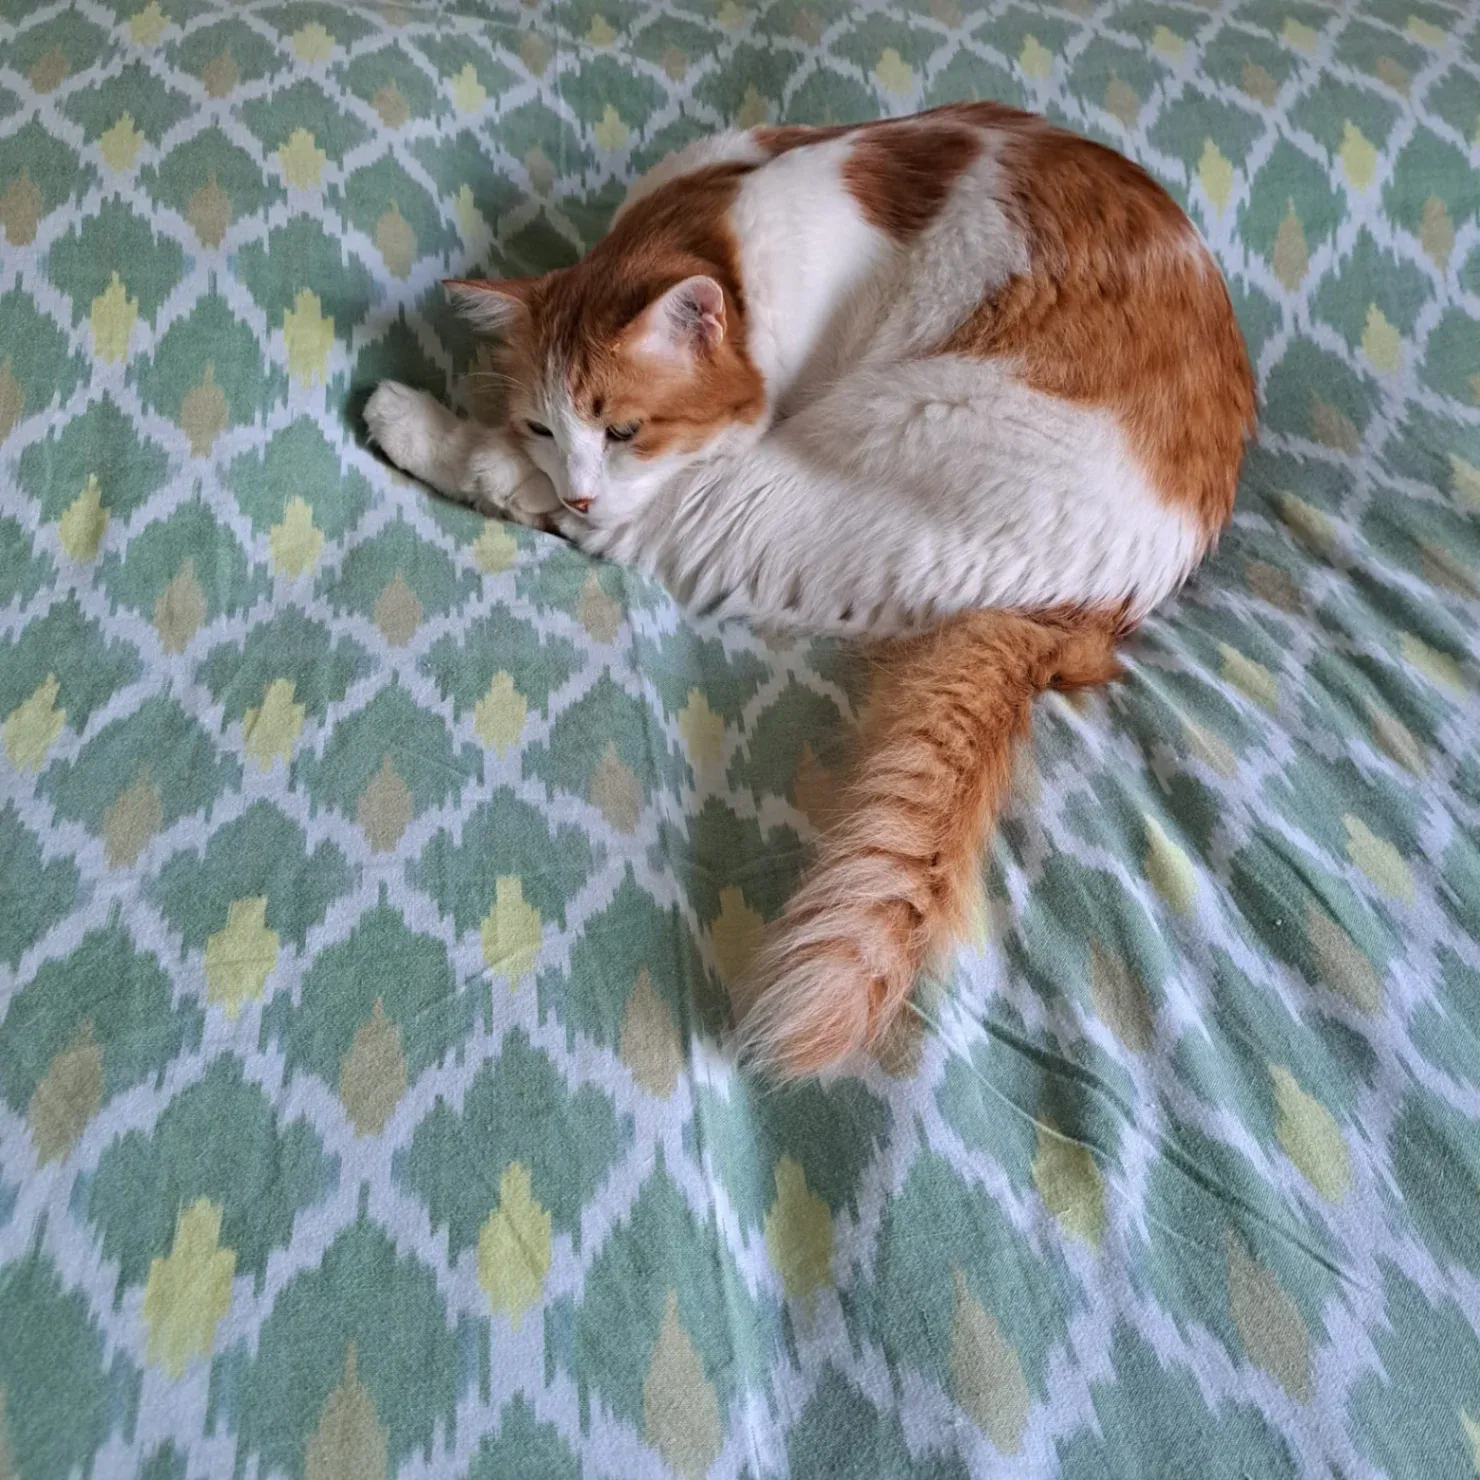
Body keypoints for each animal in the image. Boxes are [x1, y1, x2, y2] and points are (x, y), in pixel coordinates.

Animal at [365, 102, 1255, 1079]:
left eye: (625, 431)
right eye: (542, 425)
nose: (576, 485)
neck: (713, 225)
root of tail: (1107, 611)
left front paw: (475, 449)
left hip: (816, 476)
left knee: (630, 528)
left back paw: (427, 432)